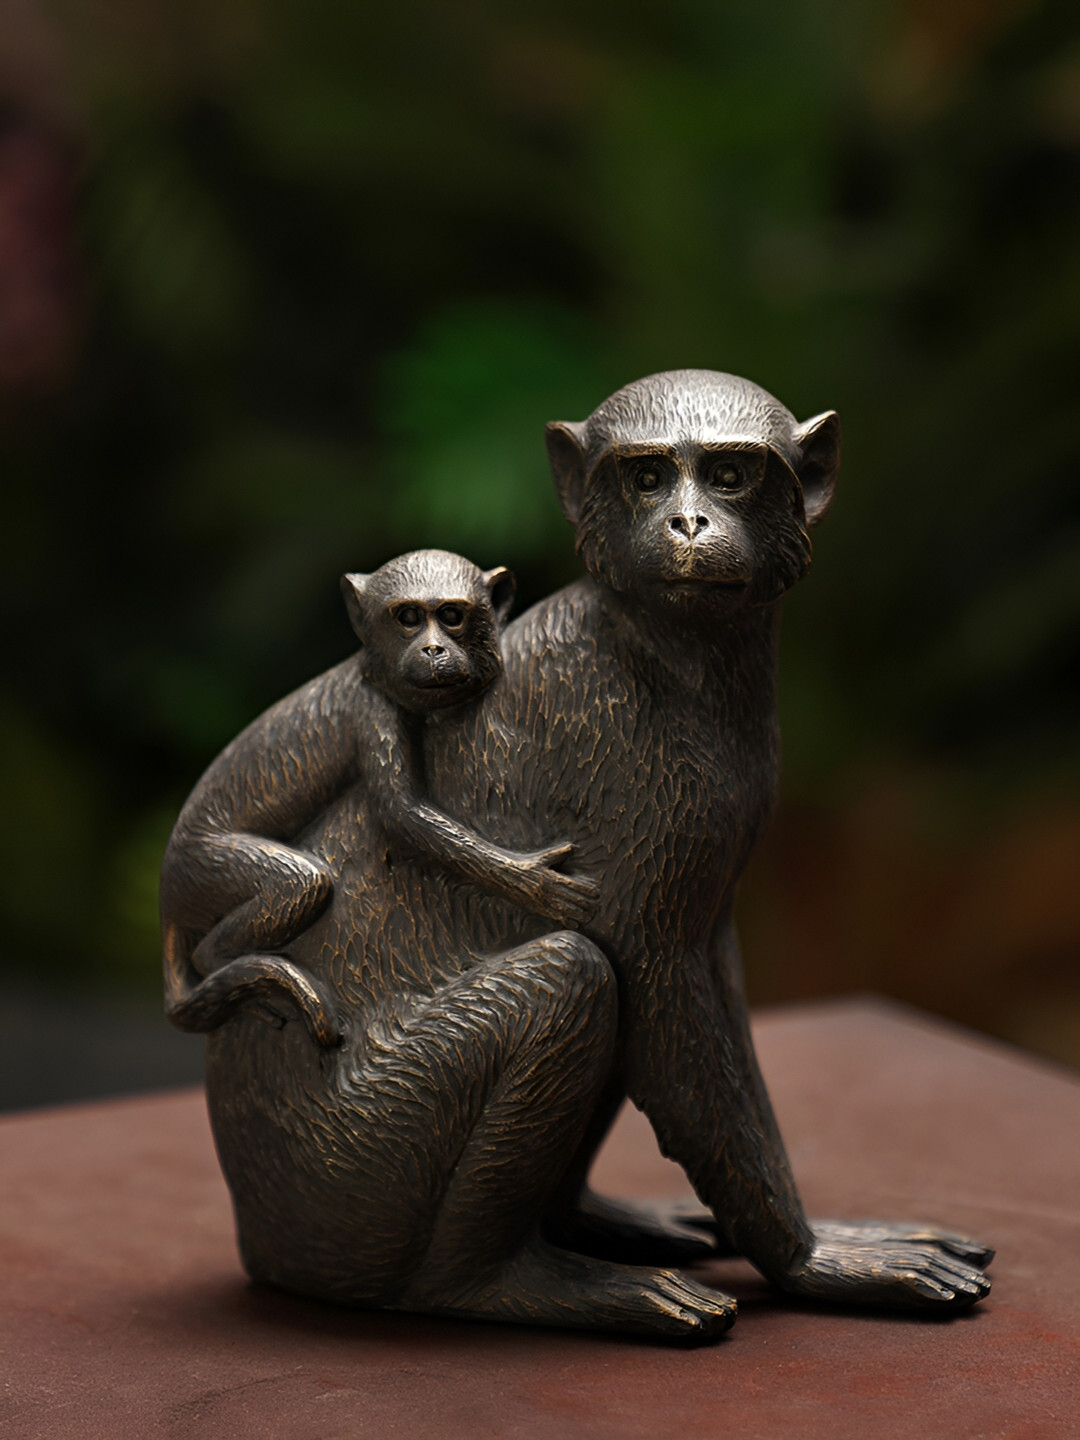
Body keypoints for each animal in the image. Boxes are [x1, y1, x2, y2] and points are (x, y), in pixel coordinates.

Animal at [161, 548, 597, 1046]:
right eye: (407, 617)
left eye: (452, 616)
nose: (433, 650)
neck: (372, 669)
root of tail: (164, 896)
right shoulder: (372, 710)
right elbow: (401, 815)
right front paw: (534, 882)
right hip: (203, 869)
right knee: (298, 884)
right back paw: (224, 966)